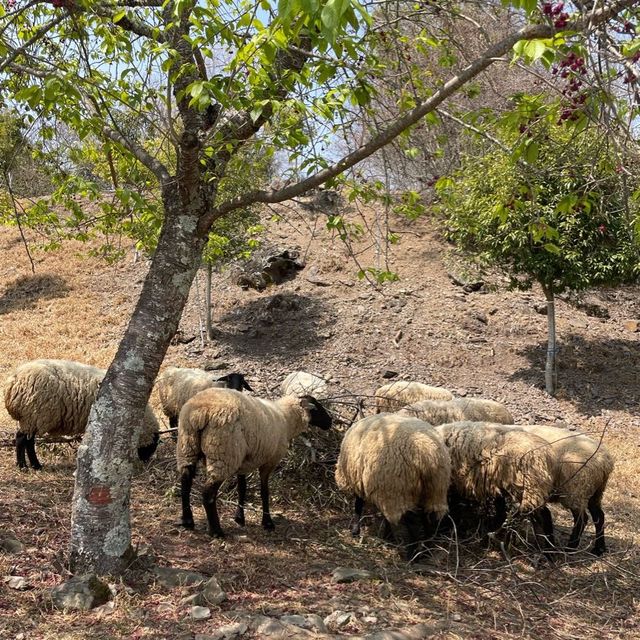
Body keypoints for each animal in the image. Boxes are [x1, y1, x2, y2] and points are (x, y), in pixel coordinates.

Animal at [5, 360, 160, 470]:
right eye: (151, 447)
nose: (144, 463)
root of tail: (13, 381)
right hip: (34, 415)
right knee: (22, 439)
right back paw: (25, 466)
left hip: (31, 417)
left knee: (27, 441)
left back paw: (33, 465)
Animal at [178, 388, 332, 536]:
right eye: (316, 408)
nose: (330, 422)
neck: (285, 419)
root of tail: (200, 413)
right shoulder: (269, 461)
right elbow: (265, 491)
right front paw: (267, 522)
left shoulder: (243, 462)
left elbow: (242, 488)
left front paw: (239, 518)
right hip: (224, 454)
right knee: (208, 494)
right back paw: (216, 531)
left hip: (188, 447)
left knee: (185, 483)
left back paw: (187, 521)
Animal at [336, 416, 450, 560]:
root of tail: (427, 456)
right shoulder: (381, 491)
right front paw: (384, 535)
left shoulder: (360, 481)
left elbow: (358, 505)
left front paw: (355, 531)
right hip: (435, 490)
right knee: (431, 518)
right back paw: (426, 550)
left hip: (399, 490)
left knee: (410, 521)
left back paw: (410, 554)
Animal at [436, 420, 556, 552]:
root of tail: (548, 455)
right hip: (531, 488)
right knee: (540, 514)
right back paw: (547, 548)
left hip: (526, 487)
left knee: (539, 514)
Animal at [504, 424, 616, 556]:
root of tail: (605, 461)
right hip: (595, 491)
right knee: (599, 516)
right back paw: (599, 548)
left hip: (575, 489)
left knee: (582, 519)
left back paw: (570, 548)